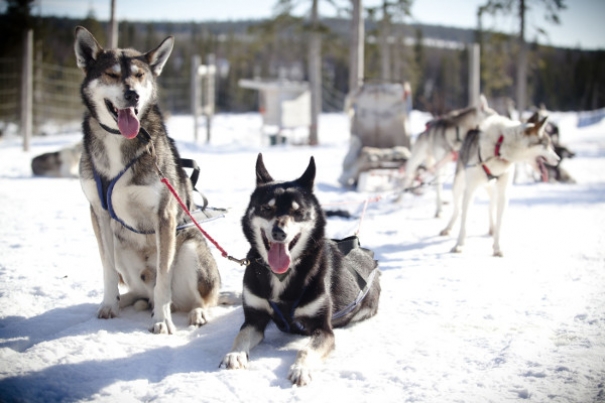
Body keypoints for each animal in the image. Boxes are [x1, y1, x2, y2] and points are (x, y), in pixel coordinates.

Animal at [73, 26, 219, 332]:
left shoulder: (165, 215)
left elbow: (164, 276)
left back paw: (194, 313)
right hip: (121, 246)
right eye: (112, 74)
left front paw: (161, 322)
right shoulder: (98, 212)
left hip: (190, 250)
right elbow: (106, 267)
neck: (119, 140)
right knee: (139, 291)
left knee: (201, 299)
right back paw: (129, 301)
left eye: (140, 75)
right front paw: (108, 305)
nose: (133, 95)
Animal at [219, 155, 380, 388]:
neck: (281, 275)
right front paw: (234, 355)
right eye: (266, 208)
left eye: (298, 212)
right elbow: (241, 336)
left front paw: (301, 368)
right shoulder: (254, 319)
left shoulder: (324, 329)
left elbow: (306, 350)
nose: (279, 232)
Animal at [438, 112, 556, 258]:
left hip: (493, 190)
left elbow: (500, 222)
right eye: (547, 144)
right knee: (457, 209)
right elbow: (464, 221)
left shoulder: (503, 193)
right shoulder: (470, 190)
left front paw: (497, 248)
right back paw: (448, 228)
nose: (558, 159)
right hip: (458, 186)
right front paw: (459, 245)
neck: (499, 149)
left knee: (490, 207)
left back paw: (492, 229)